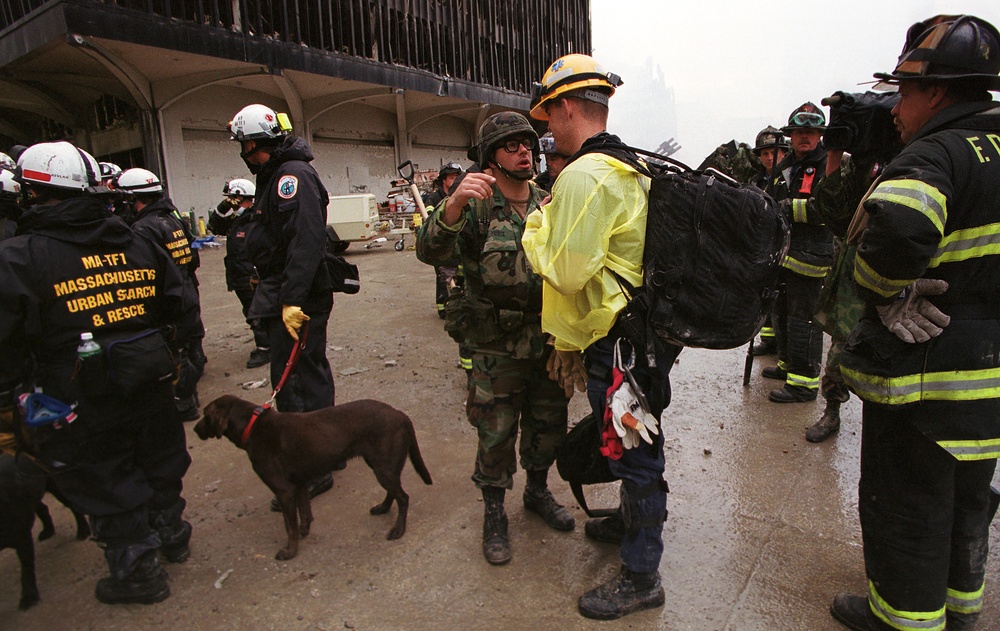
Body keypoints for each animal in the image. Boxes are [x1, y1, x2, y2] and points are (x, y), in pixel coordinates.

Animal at [193, 398, 432, 560]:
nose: (194, 429)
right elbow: (305, 513)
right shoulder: (299, 484)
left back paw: (398, 530)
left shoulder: (284, 490)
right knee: (394, 492)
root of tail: (400, 414)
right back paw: (382, 508)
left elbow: (289, 525)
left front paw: (290, 551)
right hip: (380, 465)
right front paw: (304, 531)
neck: (253, 426)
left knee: (403, 497)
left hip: (384, 467)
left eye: (205, 415)